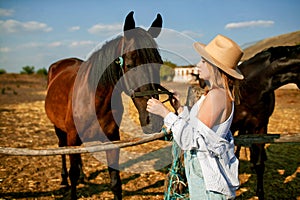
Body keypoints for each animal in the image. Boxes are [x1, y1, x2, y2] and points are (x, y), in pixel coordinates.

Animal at [45, 11, 165, 199]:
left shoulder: (112, 140)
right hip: (60, 130)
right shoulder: (72, 137)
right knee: (62, 148)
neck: (94, 100)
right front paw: (71, 181)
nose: (154, 119)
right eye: (129, 65)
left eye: (159, 63)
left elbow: (115, 182)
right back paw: (63, 179)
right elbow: (72, 173)